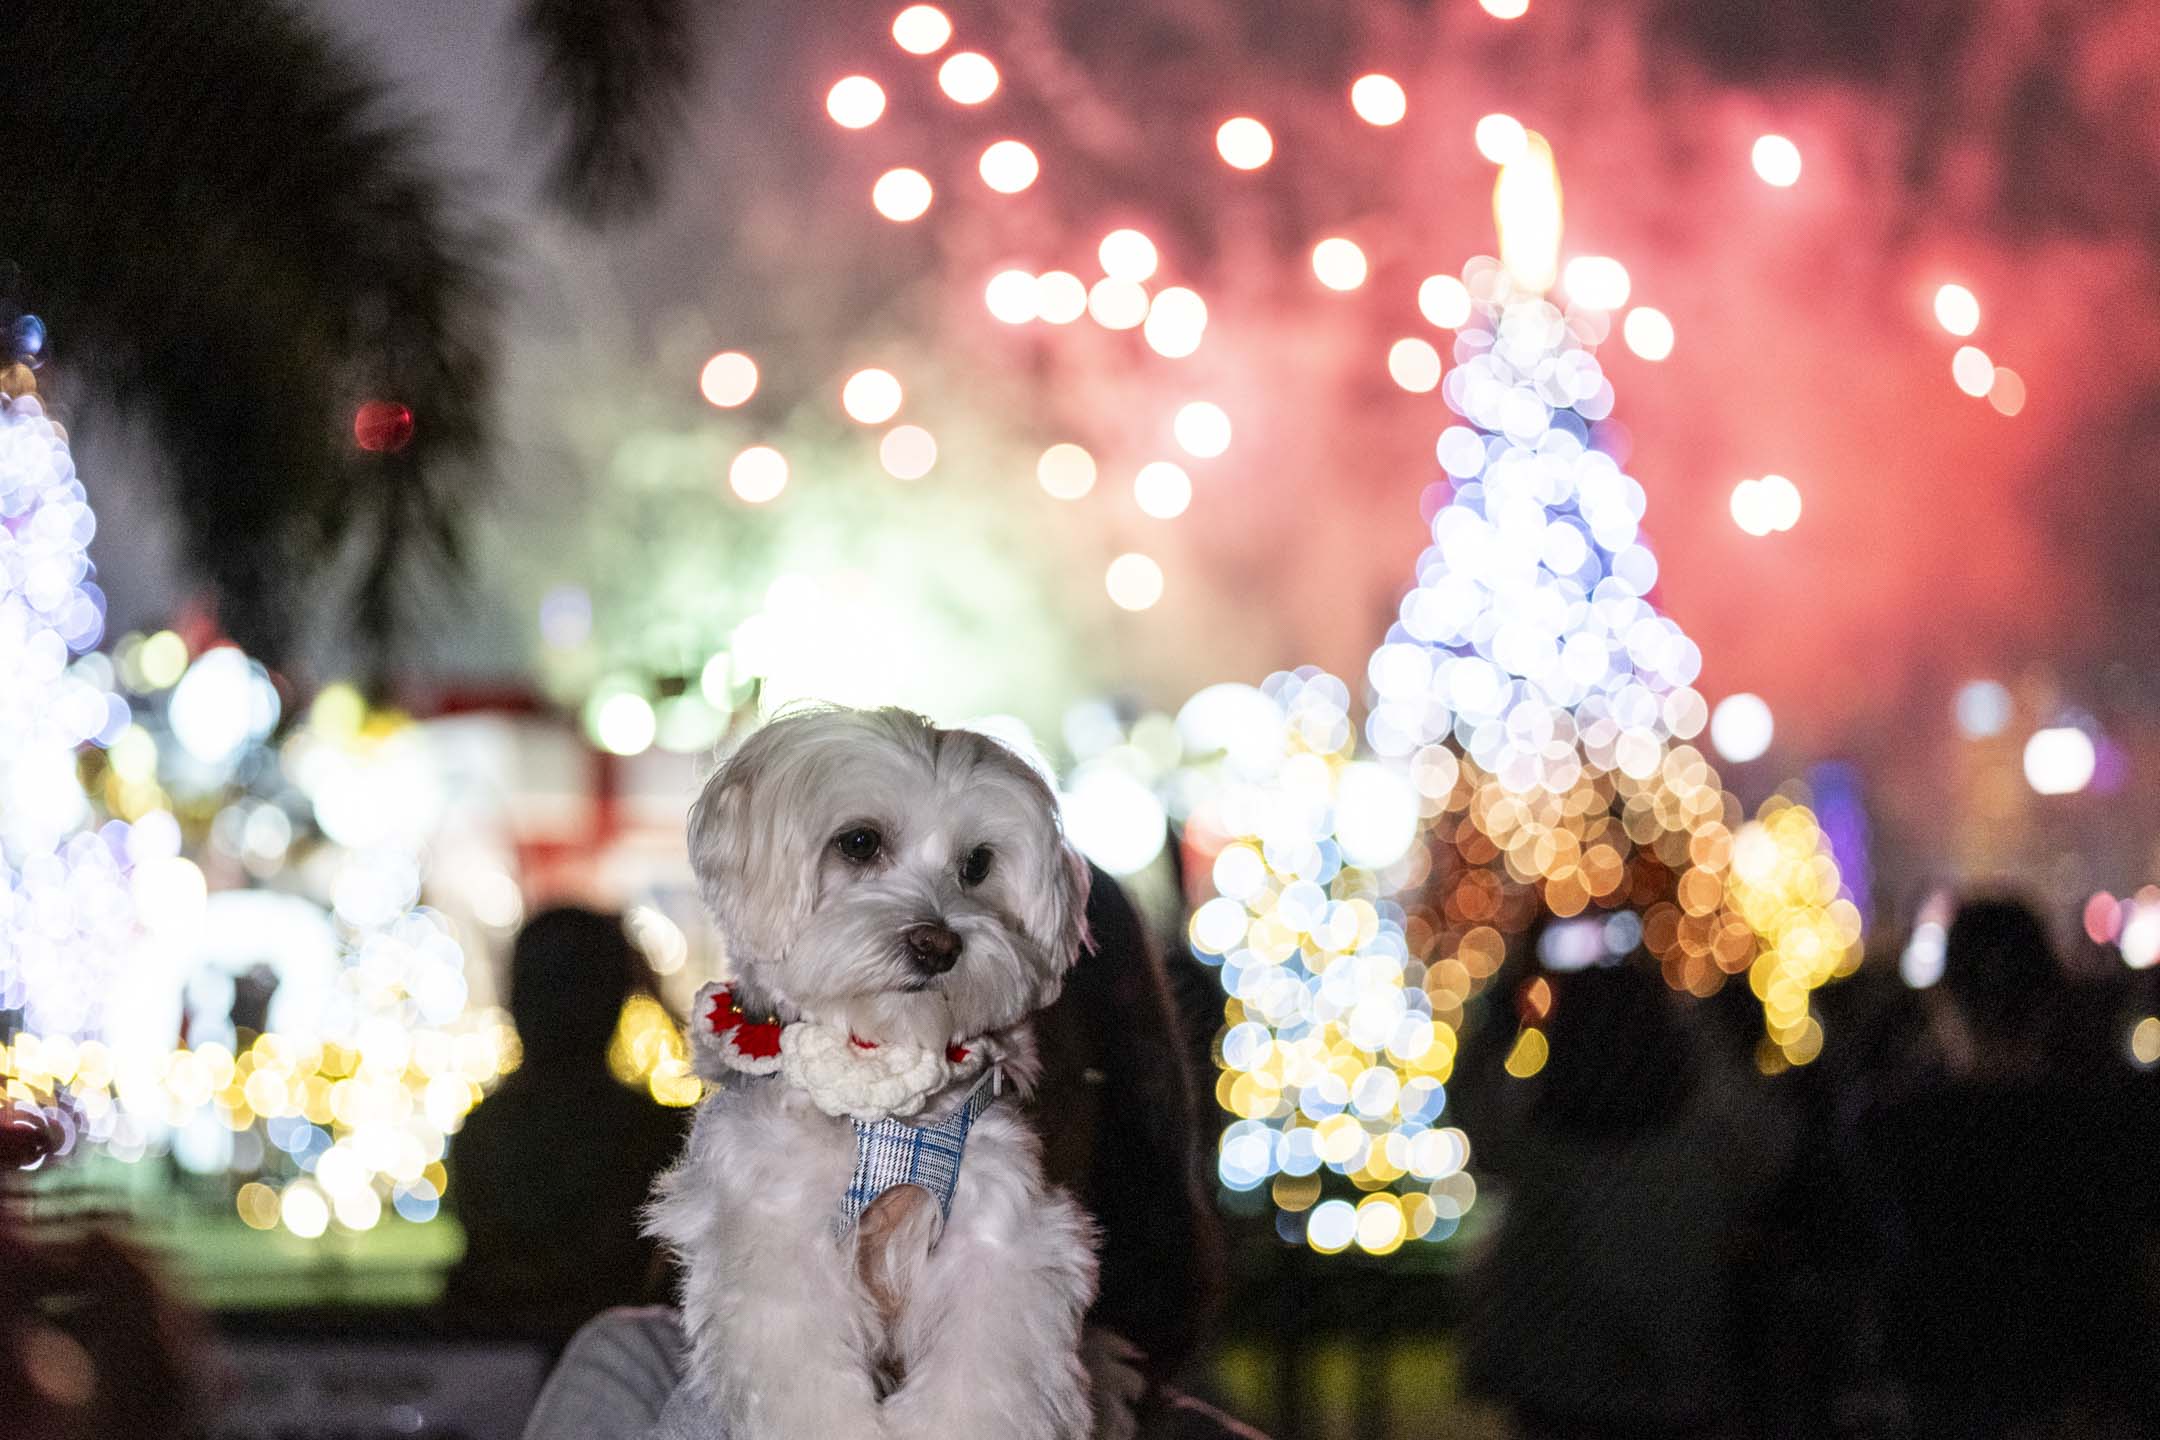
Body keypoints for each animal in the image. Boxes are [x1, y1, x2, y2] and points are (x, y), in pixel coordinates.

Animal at [648, 708, 1097, 1440]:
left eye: (978, 863)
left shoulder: (999, 1241)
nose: (938, 945)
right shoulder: (776, 1238)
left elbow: (982, 1374)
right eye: (858, 843)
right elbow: (805, 1375)